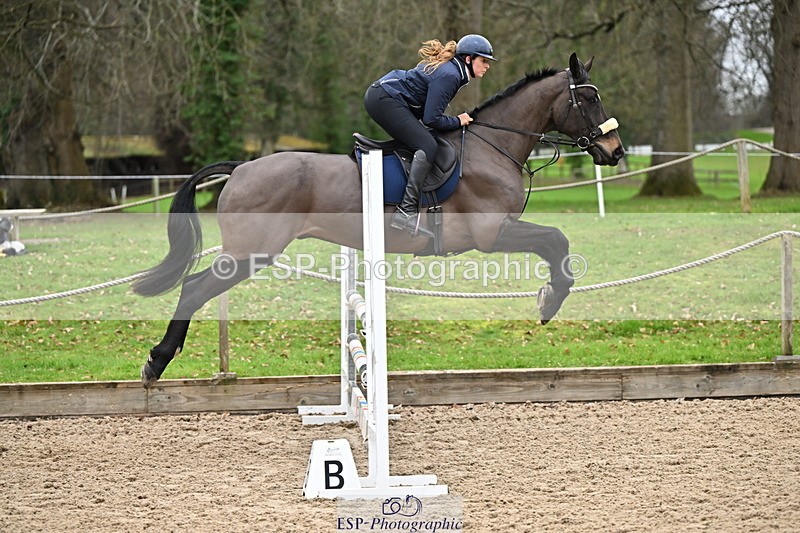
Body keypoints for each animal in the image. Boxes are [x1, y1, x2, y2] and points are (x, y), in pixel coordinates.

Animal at [132, 53, 624, 388]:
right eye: (589, 99)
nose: (615, 151)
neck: (492, 146)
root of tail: (239, 169)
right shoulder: (493, 234)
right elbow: (556, 241)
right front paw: (550, 301)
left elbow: (555, 242)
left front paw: (548, 298)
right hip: (249, 253)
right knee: (194, 287)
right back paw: (156, 361)